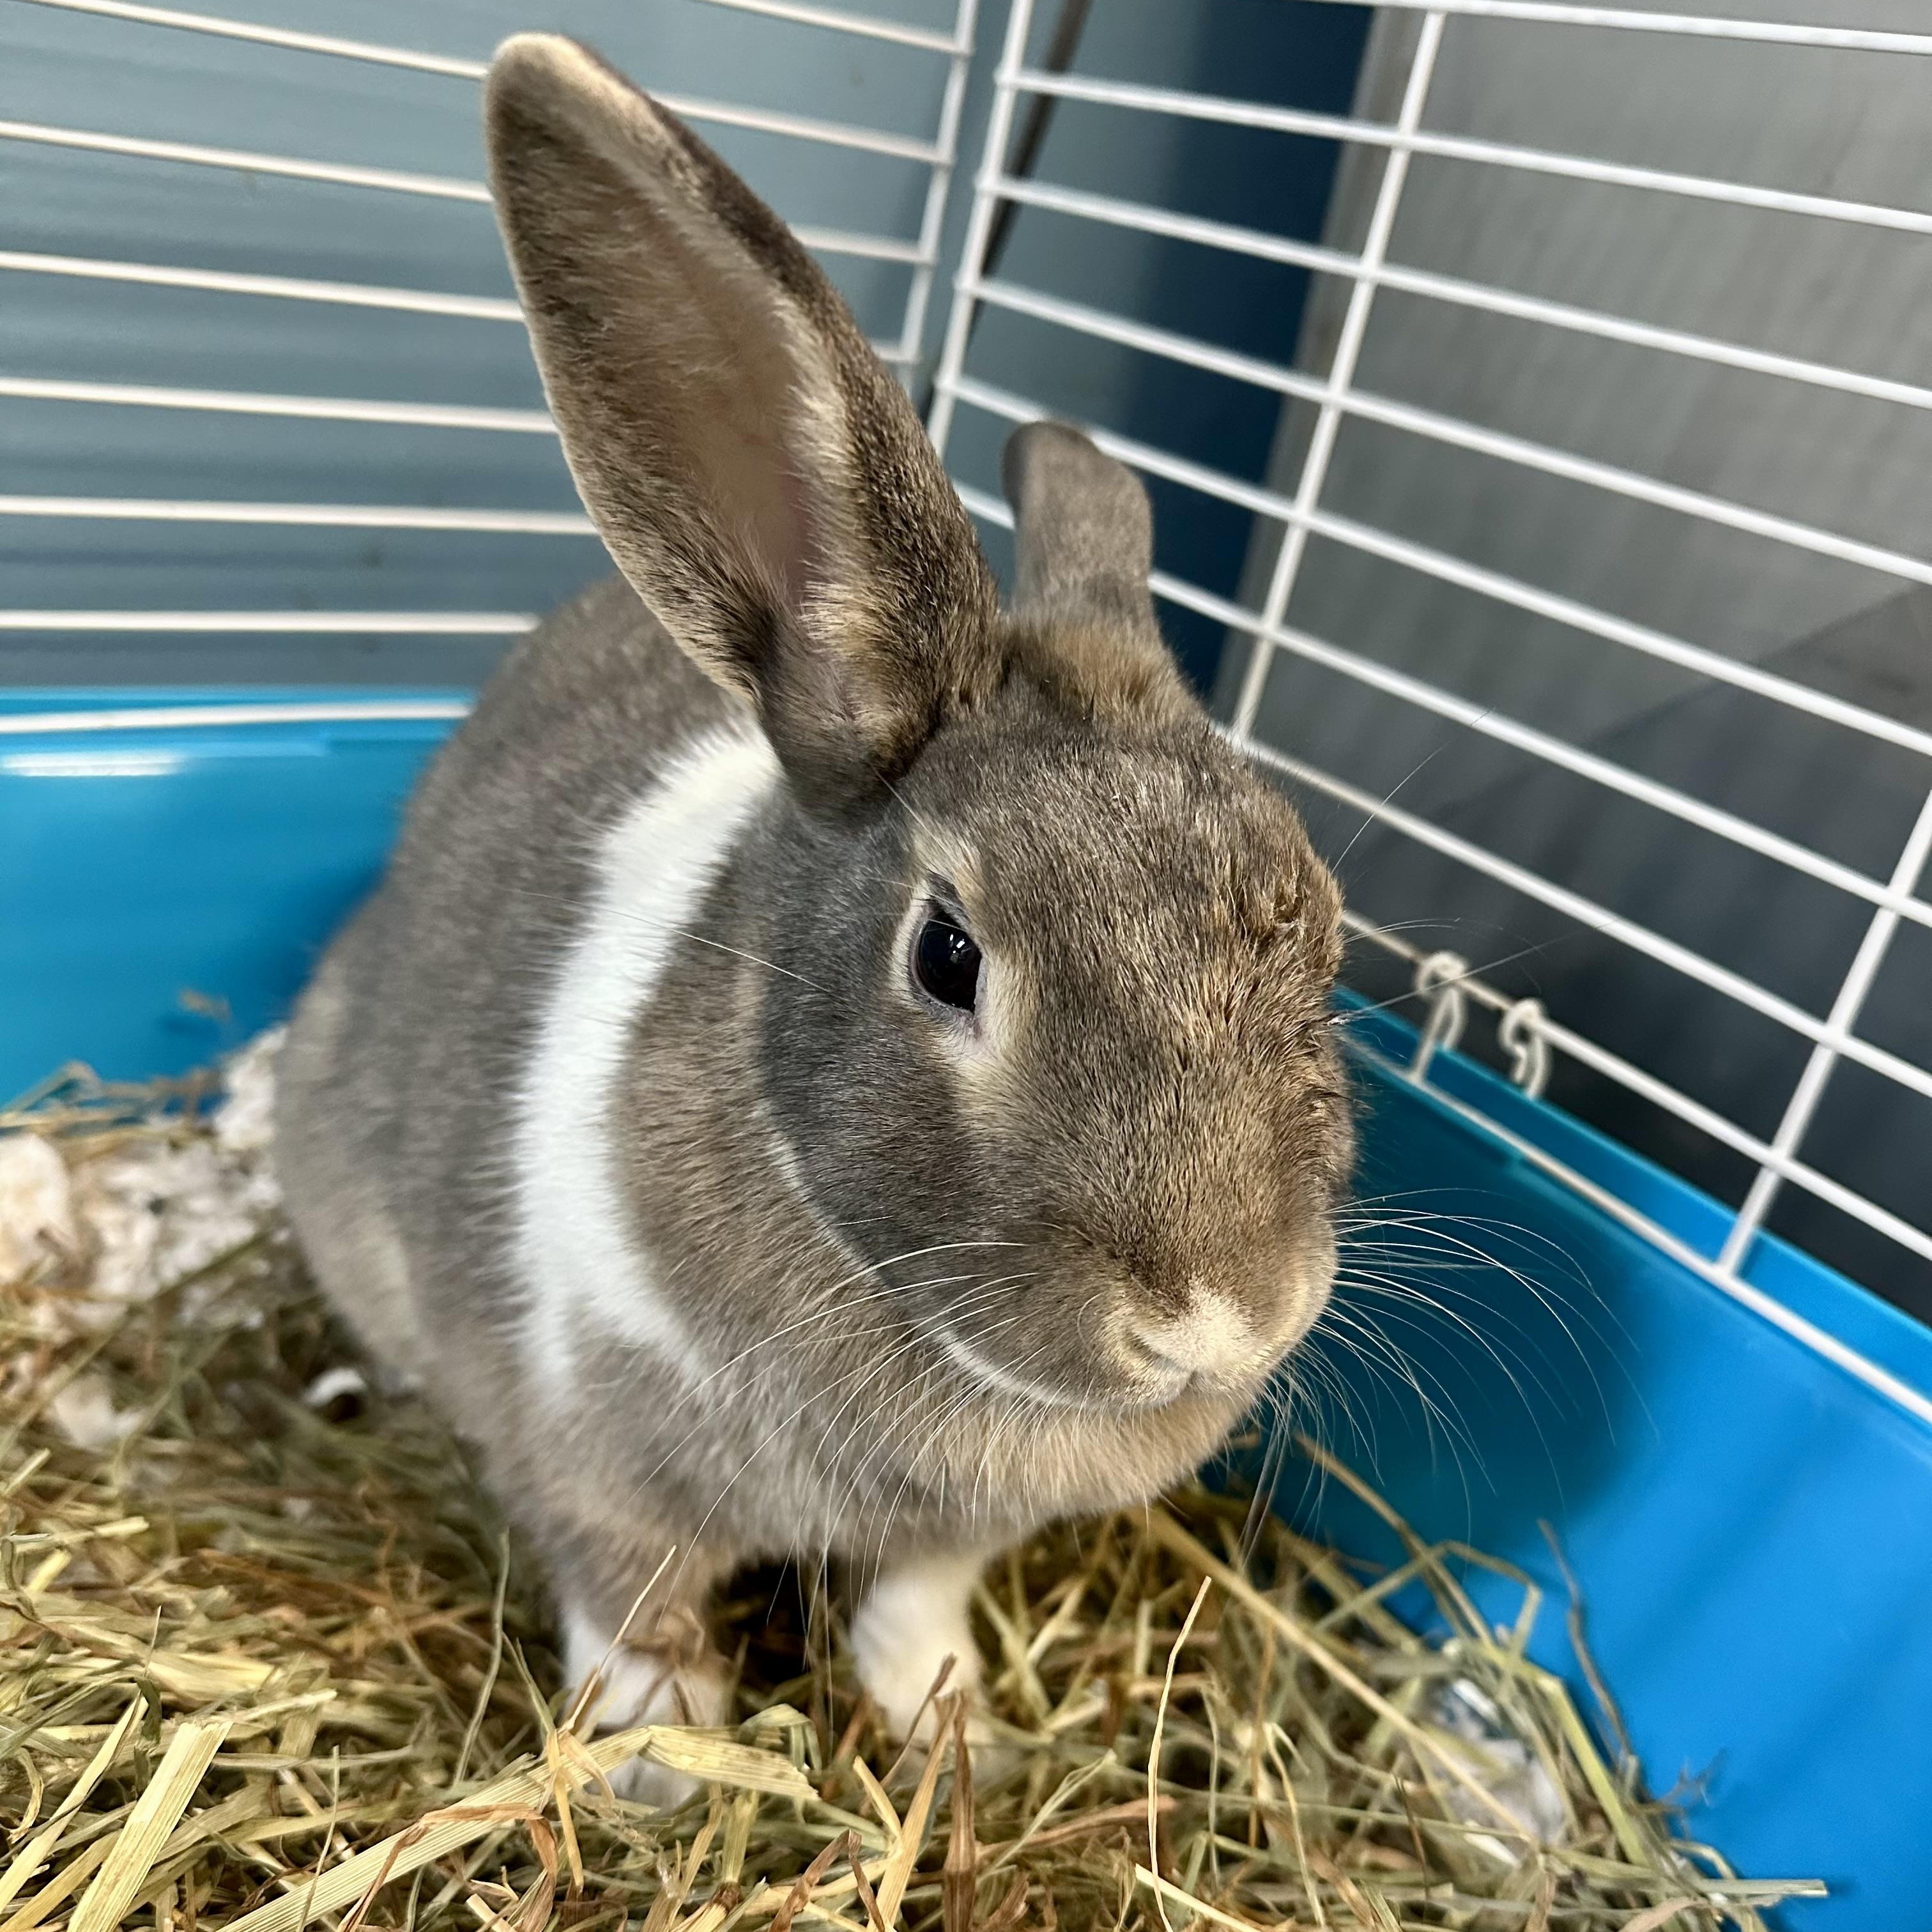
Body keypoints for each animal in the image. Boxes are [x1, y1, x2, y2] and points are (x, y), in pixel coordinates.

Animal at [273, 31, 1352, 1801]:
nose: (1218, 1322)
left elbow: (912, 1616)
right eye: (947, 954)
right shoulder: (589, 1453)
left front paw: (954, 1740)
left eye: (1326, 928)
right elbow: (630, 1606)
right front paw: (663, 1765)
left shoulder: (950, 1543)